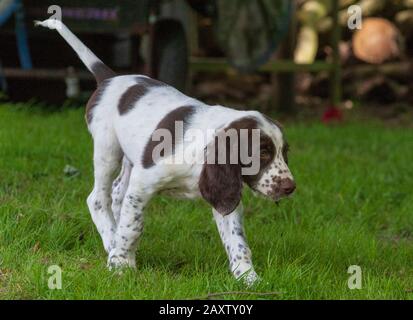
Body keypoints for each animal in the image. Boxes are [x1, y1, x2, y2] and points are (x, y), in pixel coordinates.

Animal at [35, 18, 292, 284]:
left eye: (284, 152)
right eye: (262, 152)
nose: (290, 187)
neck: (200, 155)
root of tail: (111, 78)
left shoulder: (225, 191)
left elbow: (237, 239)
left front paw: (248, 277)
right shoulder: (143, 183)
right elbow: (133, 226)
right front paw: (121, 264)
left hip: (131, 158)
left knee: (117, 193)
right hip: (108, 149)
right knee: (98, 198)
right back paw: (111, 241)